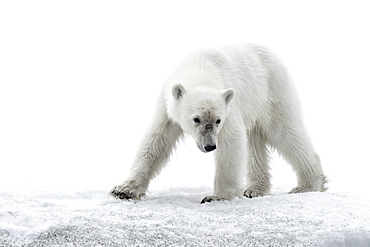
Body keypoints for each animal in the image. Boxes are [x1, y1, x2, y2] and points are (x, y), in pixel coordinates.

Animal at [110, 43, 326, 204]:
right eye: (196, 119)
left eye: (217, 120)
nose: (210, 146)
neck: (200, 67)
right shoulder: (168, 107)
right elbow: (156, 141)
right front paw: (124, 189)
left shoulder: (229, 107)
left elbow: (232, 141)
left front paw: (217, 197)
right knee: (255, 142)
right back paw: (255, 189)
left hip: (272, 92)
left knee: (284, 132)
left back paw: (308, 185)